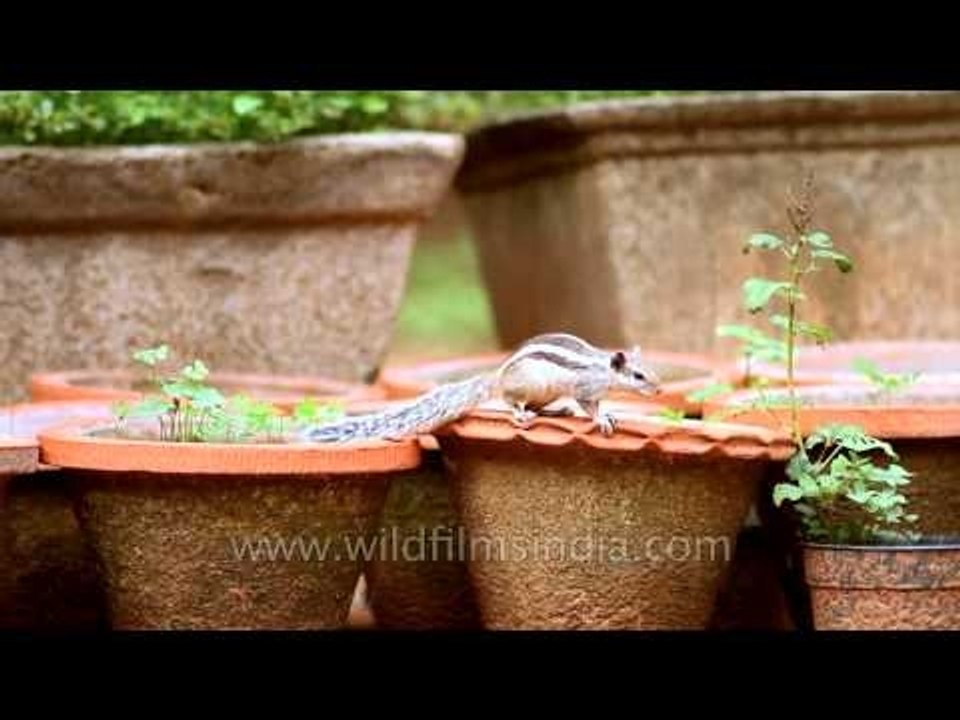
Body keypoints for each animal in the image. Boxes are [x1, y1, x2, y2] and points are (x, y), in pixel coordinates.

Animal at [301, 332, 662, 443]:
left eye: (652, 371)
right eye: (639, 375)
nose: (658, 391)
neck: (603, 369)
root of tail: (498, 375)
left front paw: (610, 413)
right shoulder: (585, 388)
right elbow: (589, 406)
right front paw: (600, 419)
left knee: (539, 406)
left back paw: (557, 410)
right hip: (525, 386)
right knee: (512, 402)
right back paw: (521, 415)